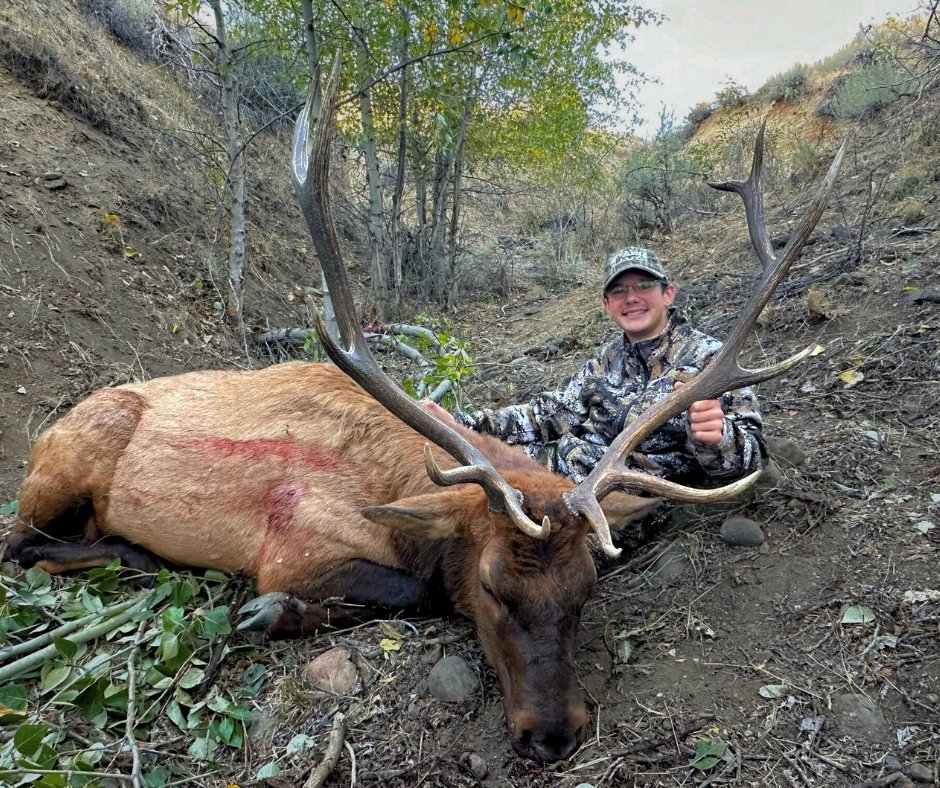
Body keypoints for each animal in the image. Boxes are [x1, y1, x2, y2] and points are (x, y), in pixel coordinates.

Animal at [2, 55, 845, 763]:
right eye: (495, 588)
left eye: (586, 590)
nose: (554, 736)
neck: (395, 484)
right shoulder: (293, 545)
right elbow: (410, 590)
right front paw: (266, 612)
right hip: (62, 467)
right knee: (22, 546)